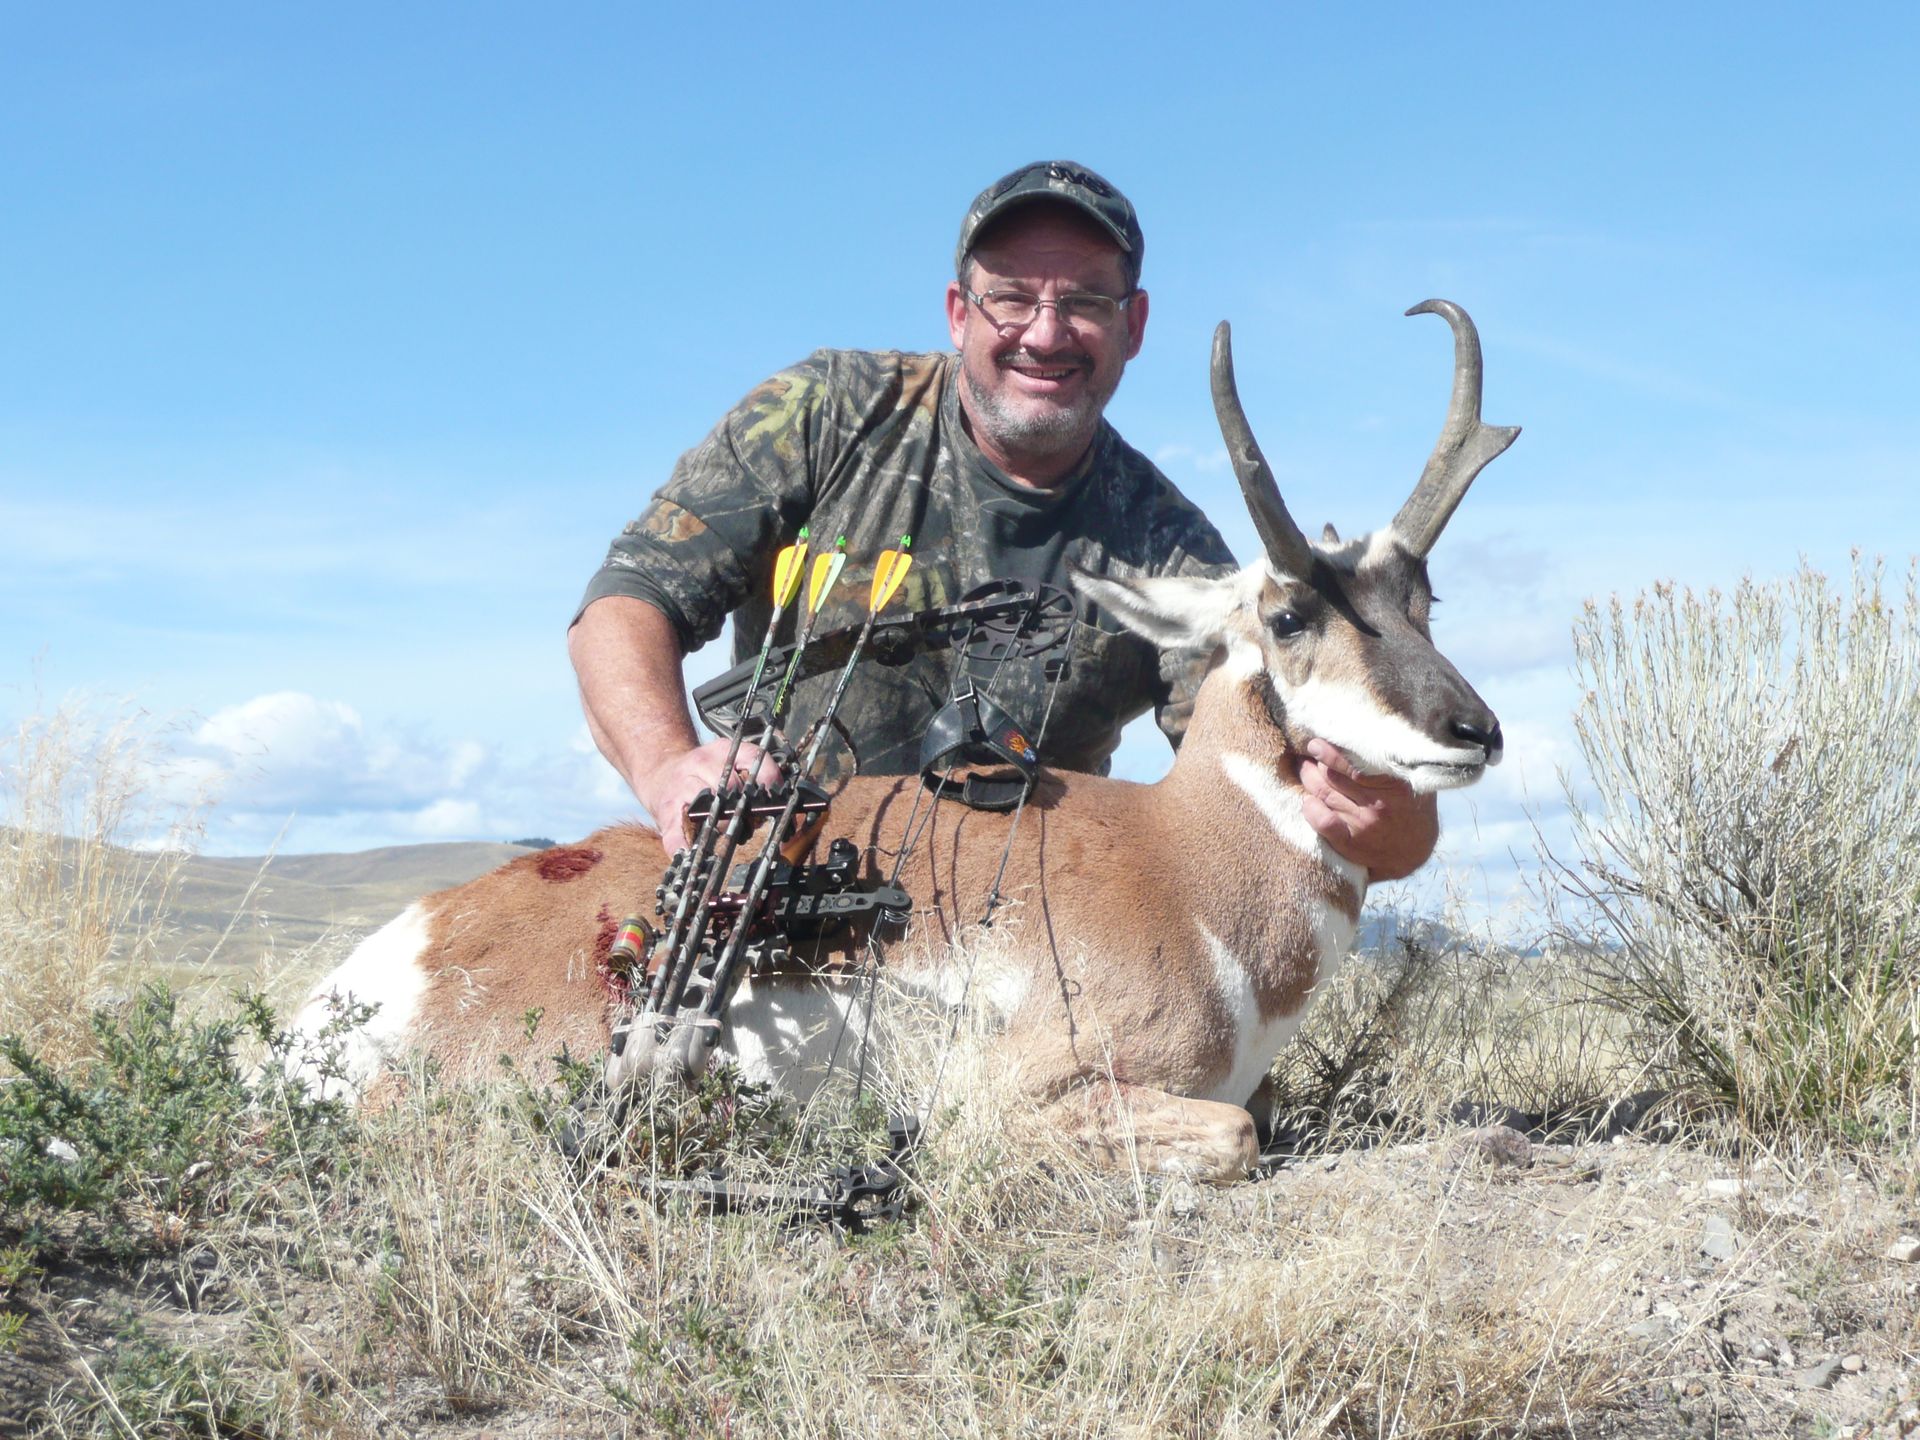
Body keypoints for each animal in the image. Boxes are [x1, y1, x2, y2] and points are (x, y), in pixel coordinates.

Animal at [294, 300, 1515, 1183]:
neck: (1183, 859)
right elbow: (1238, 1135)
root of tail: (399, 953)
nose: (1477, 732)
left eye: (1425, 600)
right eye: (1289, 615)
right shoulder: (1039, 1090)